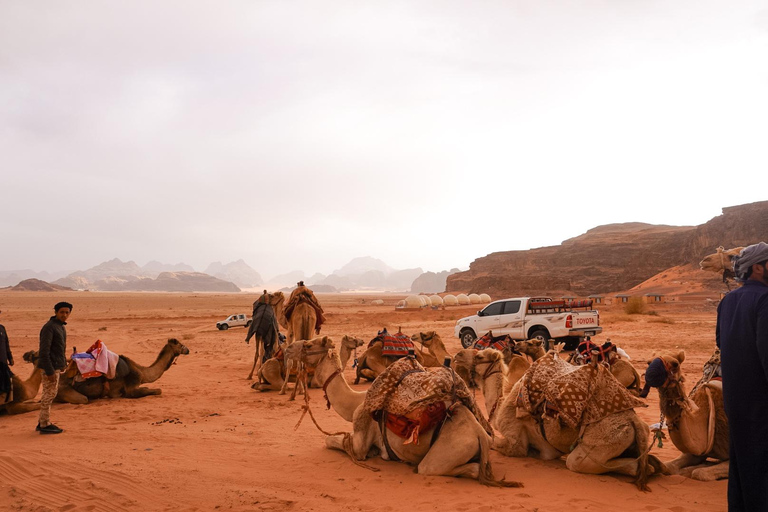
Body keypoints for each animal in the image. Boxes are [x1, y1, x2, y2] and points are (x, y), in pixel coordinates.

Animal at [55, 338, 189, 406]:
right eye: (180, 344)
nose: (188, 350)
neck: (142, 372)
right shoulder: (131, 389)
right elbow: (158, 390)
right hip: (67, 391)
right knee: (83, 399)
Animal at [300, 346, 520, 486]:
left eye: (309, 345)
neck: (356, 400)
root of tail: (481, 435)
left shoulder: (360, 432)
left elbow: (333, 441)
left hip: (447, 452)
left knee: (436, 468)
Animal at [492, 350, 664, 490]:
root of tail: (634, 420)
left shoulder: (514, 437)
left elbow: (501, 444)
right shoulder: (547, 449)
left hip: (605, 442)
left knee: (576, 462)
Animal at [644, 348, 728, 480]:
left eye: (675, 364)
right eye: (648, 362)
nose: (650, 375)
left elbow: (699, 473)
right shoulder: (697, 450)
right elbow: (670, 467)